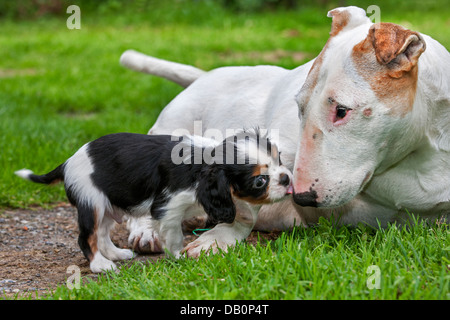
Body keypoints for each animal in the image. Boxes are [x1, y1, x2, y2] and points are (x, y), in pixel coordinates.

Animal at [14, 130, 292, 272]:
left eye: (279, 159)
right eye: (259, 181)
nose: (287, 178)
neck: (206, 161)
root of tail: (67, 162)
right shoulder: (168, 208)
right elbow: (174, 236)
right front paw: (178, 256)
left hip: (106, 205)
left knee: (102, 234)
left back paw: (116, 254)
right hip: (91, 202)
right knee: (87, 238)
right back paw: (101, 265)